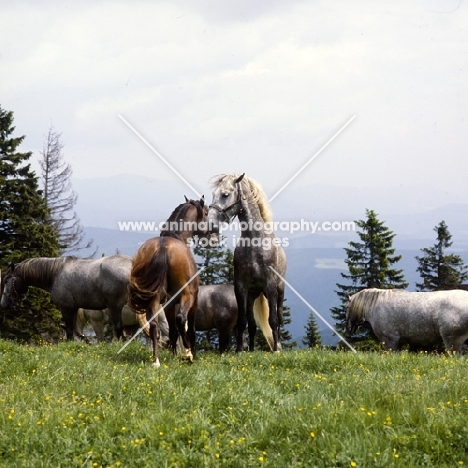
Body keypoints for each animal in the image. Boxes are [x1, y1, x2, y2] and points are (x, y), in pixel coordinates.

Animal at [1, 254, 132, 338]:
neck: (55, 273)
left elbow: (69, 332)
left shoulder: (66, 308)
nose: (3, 304)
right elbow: (73, 332)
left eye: (7, 280)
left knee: (118, 329)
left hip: (114, 308)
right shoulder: (74, 308)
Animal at [126, 197, 207, 366]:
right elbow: (190, 329)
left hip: (154, 298)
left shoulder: (169, 304)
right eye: (207, 213)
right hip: (186, 296)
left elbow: (172, 332)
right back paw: (188, 354)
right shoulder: (194, 299)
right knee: (181, 319)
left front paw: (174, 354)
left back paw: (156, 361)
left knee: (154, 325)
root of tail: (163, 248)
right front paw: (189, 352)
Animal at [207, 175, 286, 352]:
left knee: (279, 318)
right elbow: (242, 322)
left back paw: (277, 344)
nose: (210, 224)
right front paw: (239, 350)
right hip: (252, 295)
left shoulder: (271, 286)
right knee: (251, 324)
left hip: (279, 291)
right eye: (213, 194)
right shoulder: (241, 287)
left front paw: (276, 349)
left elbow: (273, 320)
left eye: (225, 194)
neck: (254, 242)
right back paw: (251, 348)